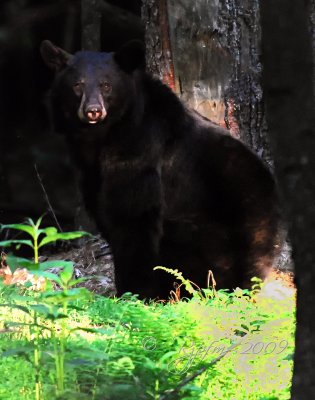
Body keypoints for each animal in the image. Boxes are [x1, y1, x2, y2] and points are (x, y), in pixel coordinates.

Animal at [40, 39, 282, 296]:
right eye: (77, 85)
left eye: (106, 85)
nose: (93, 110)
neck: (102, 138)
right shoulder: (91, 174)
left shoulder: (140, 153)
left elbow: (133, 219)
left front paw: (132, 291)